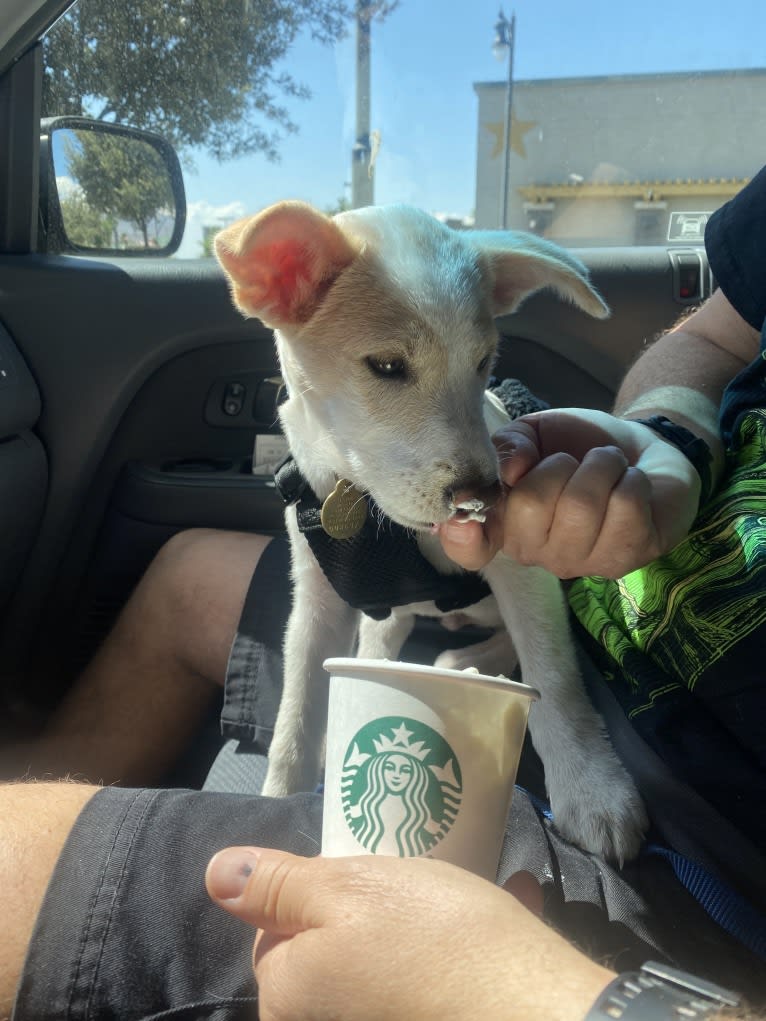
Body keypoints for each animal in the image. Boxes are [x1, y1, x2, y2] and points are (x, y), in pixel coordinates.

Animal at [216, 203, 649, 865]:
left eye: (483, 363)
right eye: (388, 366)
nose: (485, 498)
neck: (366, 500)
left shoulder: (523, 571)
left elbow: (555, 679)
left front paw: (591, 788)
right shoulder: (315, 599)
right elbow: (296, 710)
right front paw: (277, 797)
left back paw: (465, 659)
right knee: (385, 633)